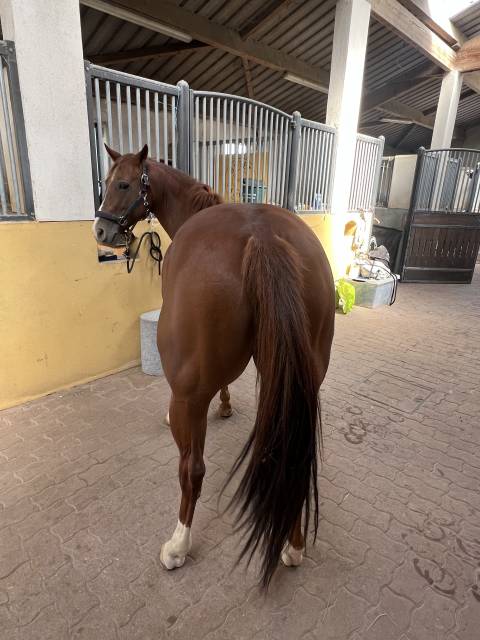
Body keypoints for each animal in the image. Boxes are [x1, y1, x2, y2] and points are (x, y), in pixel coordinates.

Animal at [93, 144, 335, 587]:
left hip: (188, 397)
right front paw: (226, 405)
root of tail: (261, 236)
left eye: (123, 184)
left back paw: (178, 546)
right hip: (298, 379)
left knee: (192, 469)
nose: (101, 232)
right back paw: (293, 546)